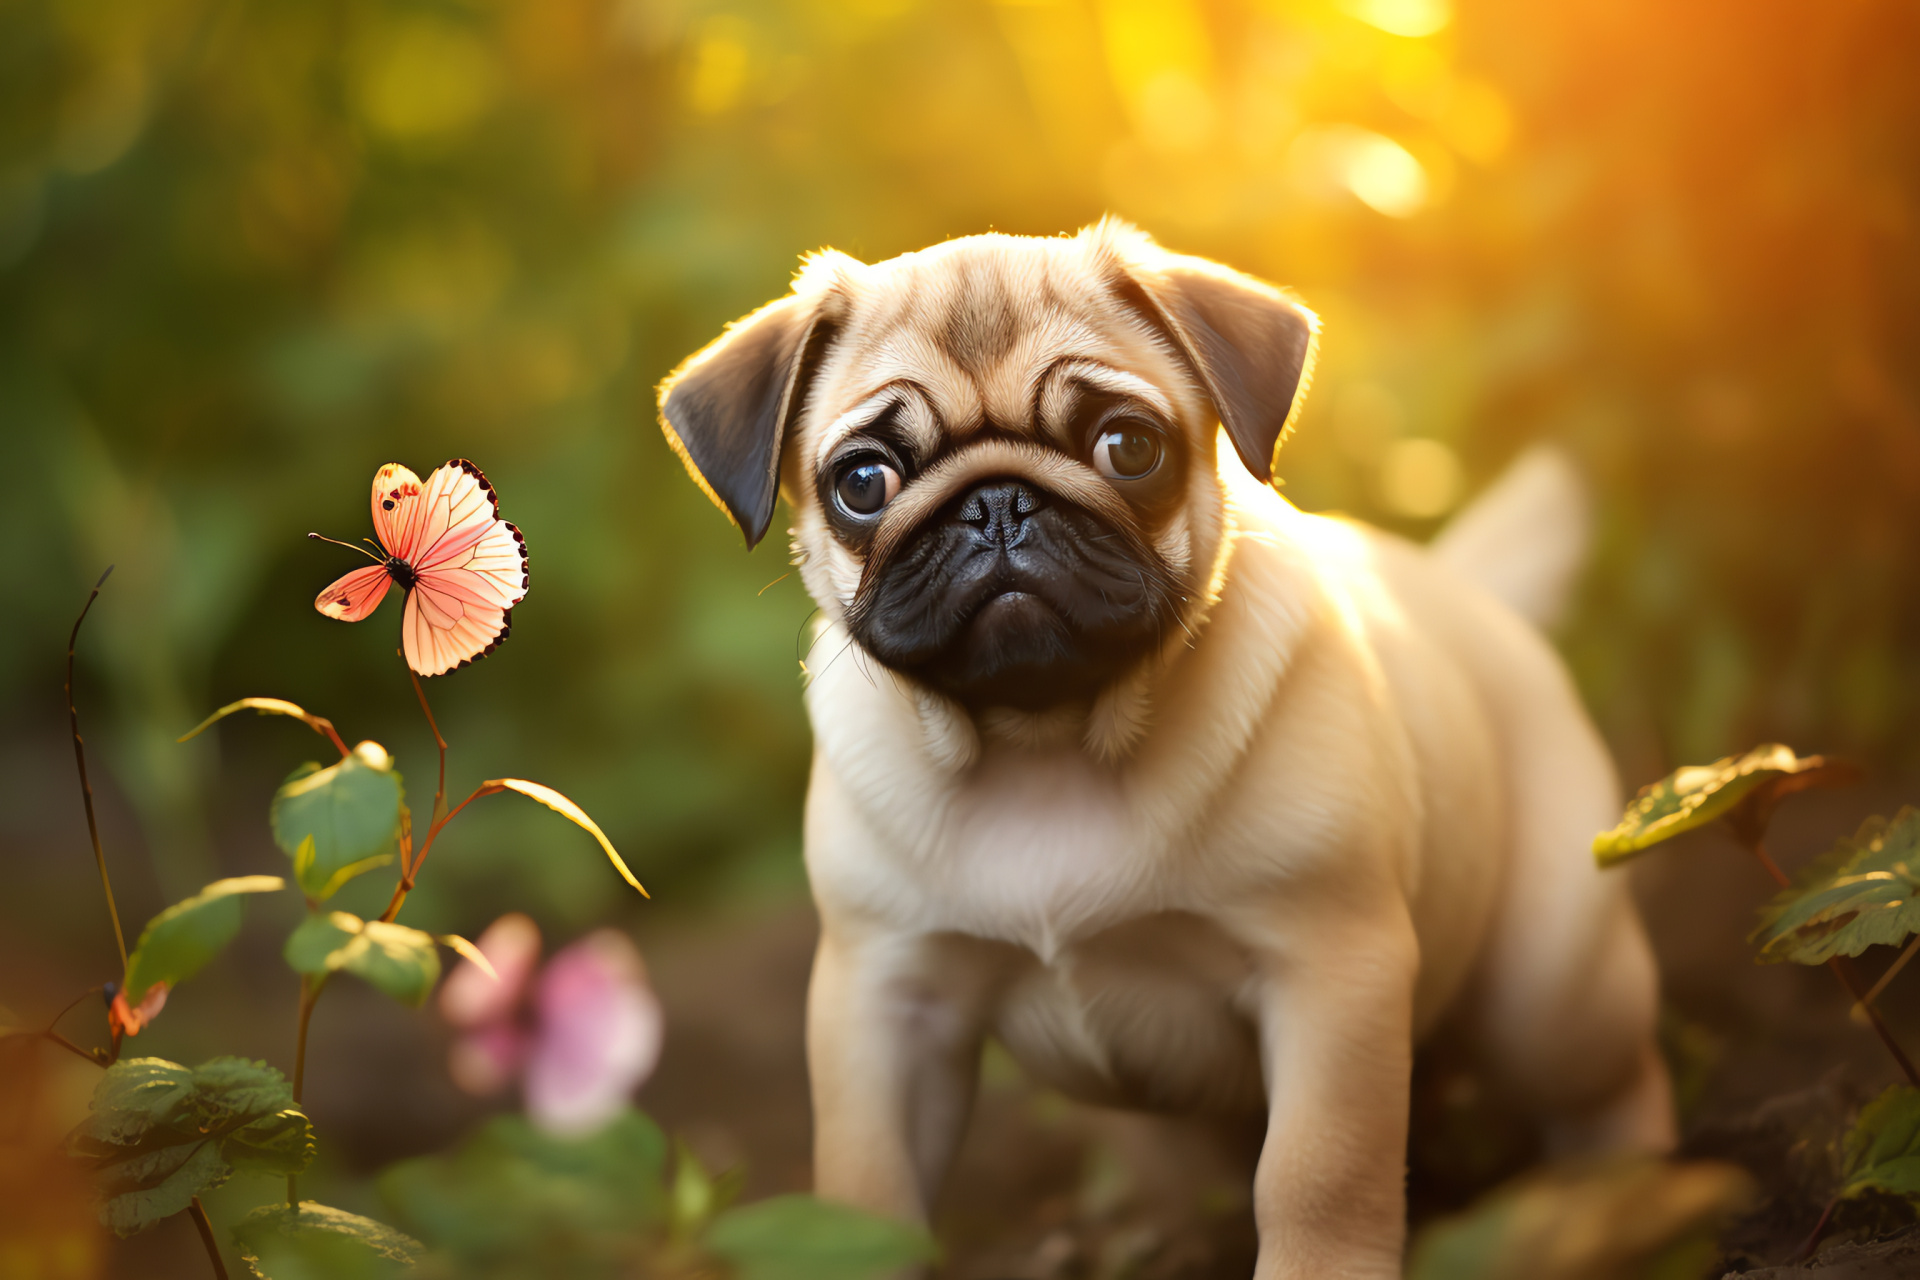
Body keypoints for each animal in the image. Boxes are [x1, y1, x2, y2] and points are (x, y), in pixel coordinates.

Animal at [652, 222, 1674, 1280]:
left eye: (1128, 447)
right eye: (863, 482)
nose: (996, 503)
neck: (1044, 742)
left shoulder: (1332, 972)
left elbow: (1317, 1174)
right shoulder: (886, 1000)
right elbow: (866, 1192)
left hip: (1549, 988)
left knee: (1607, 1086)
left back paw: (1629, 1195)